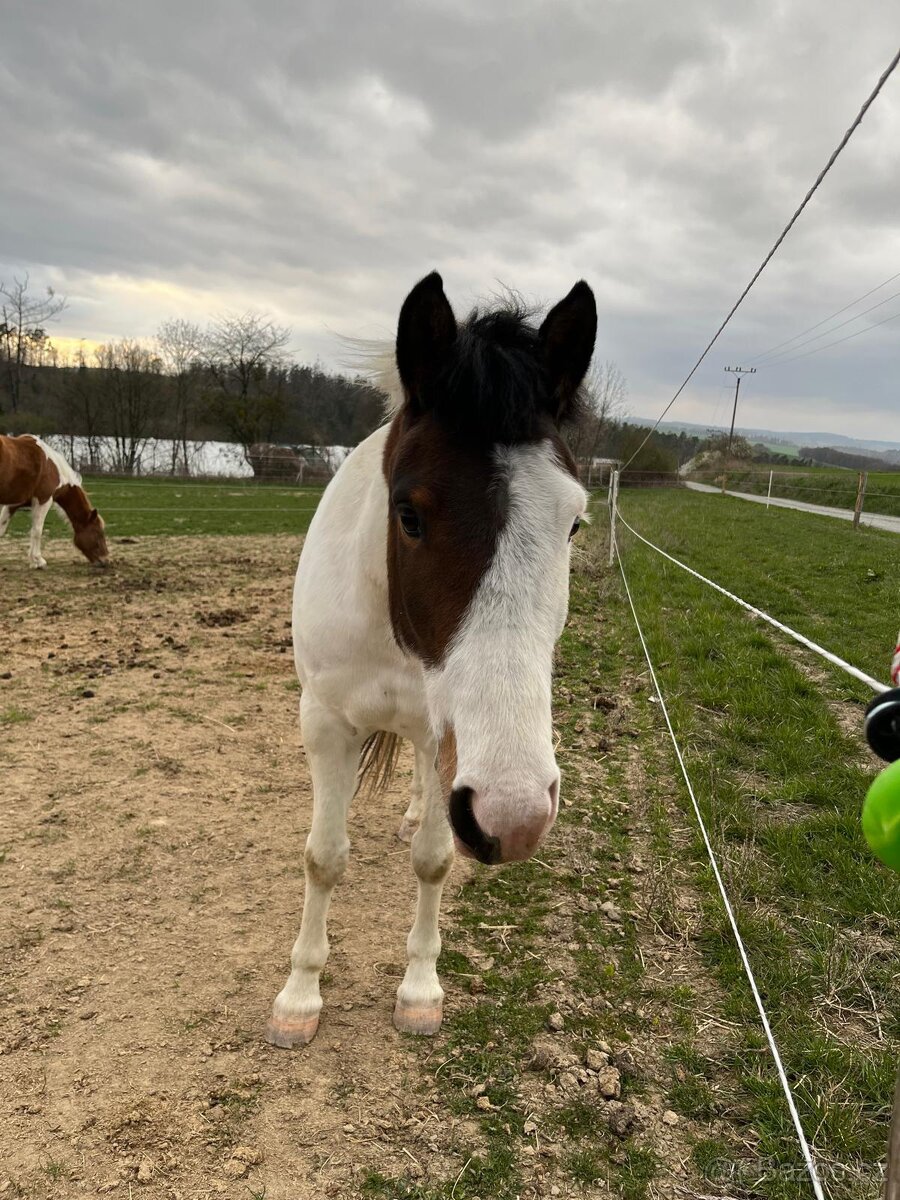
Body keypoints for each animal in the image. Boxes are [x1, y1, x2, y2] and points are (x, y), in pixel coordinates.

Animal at [0, 434, 109, 568]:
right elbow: (37, 530)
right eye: (98, 532)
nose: (106, 560)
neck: (52, 467)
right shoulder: (44, 500)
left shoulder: (14, 503)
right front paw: (39, 560)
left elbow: (1, 528)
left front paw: (33, 562)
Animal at [266, 271, 596, 1048]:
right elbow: (323, 858)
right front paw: (300, 996)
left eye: (573, 523)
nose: (516, 816)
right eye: (409, 514)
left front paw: (419, 990)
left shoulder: (450, 744)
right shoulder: (323, 723)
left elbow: (434, 859)